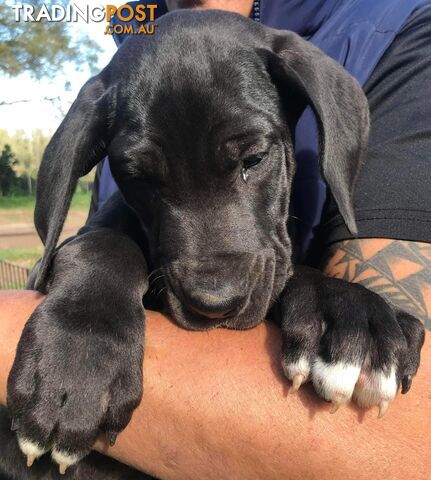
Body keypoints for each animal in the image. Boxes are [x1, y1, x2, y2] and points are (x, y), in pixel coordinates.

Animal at [3, 9, 426, 478]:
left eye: (254, 159)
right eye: (138, 178)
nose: (214, 303)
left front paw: (349, 310)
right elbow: (102, 244)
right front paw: (78, 357)